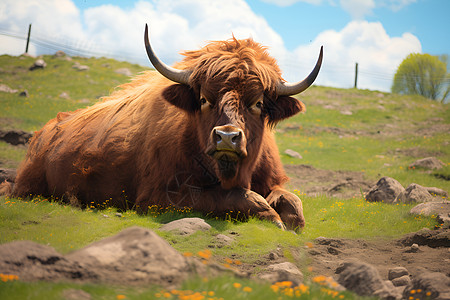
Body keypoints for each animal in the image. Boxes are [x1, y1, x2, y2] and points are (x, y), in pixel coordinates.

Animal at [3, 25, 322, 231]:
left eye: (257, 103)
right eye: (204, 99)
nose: (226, 137)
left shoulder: (273, 181)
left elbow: (294, 205)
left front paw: (289, 218)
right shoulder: (157, 198)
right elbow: (235, 199)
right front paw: (273, 217)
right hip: (28, 187)